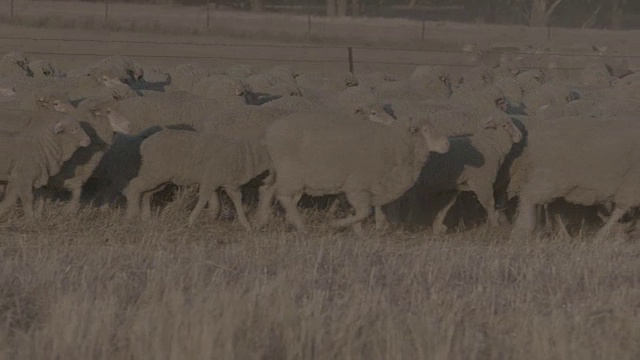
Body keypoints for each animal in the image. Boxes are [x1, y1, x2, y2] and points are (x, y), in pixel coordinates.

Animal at [122, 129, 270, 231]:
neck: (246, 156)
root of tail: (145, 144)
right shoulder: (210, 180)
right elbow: (203, 199)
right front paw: (191, 221)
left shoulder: (229, 184)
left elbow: (237, 201)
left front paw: (247, 225)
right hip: (154, 172)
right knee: (133, 187)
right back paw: (131, 216)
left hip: (159, 177)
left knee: (146, 194)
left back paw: (147, 219)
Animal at [252, 112, 452, 233]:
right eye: (426, 130)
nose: (447, 144)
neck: (396, 144)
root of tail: (268, 134)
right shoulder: (358, 186)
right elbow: (363, 211)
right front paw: (335, 224)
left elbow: (363, 212)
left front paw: (359, 231)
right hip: (291, 173)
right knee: (283, 195)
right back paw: (301, 226)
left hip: (281, 171)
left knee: (267, 189)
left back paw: (261, 221)